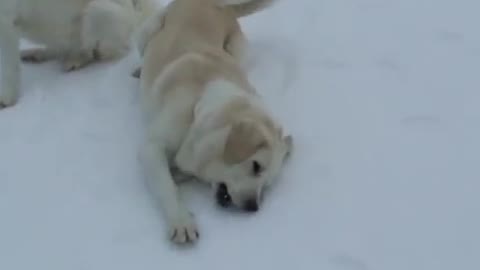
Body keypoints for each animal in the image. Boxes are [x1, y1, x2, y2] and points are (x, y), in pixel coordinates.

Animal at [0, 0, 155, 108]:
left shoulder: (6, 20)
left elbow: (7, 67)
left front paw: (6, 99)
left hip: (97, 12)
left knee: (95, 53)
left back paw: (74, 60)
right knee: (59, 49)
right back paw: (36, 54)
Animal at [135, 0, 292, 245]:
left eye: (267, 184)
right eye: (256, 166)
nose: (253, 207)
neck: (198, 109)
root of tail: (219, 6)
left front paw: (179, 173)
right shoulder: (151, 148)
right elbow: (166, 187)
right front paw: (182, 221)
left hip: (241, 52)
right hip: (147, 31)